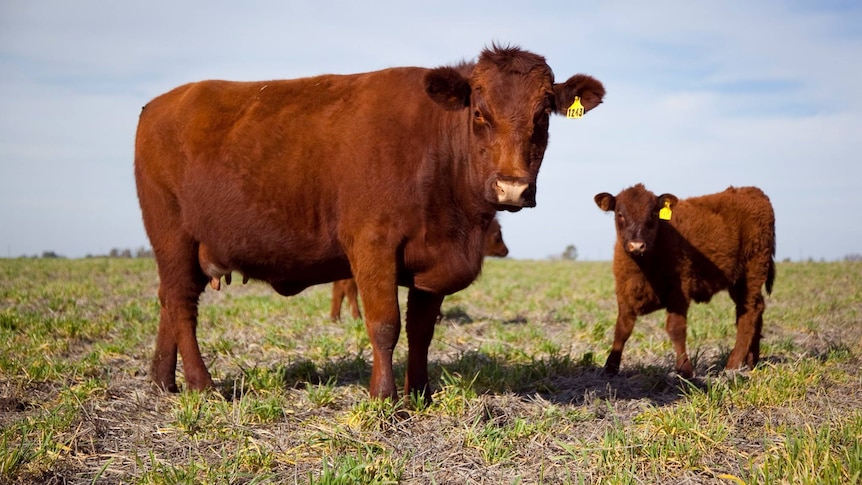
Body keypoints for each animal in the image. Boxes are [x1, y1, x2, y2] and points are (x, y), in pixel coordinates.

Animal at [330, 216, 510, 322]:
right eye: (497, 234)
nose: (506, 251)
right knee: (348, 288)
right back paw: (354, 316)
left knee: (340, 288)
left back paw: (336, 317)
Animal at [596, 183, 780, 376]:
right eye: (619, 213)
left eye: (653, 213)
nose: (637, 245)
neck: (643, 266)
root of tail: (754, 191)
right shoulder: (624, 292)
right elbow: (622, 329)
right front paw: (610, 367)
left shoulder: (679, 292)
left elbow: (675, 329)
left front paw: (684, 369)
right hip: (737, 281)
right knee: (756, 309)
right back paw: (752, 362)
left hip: (752, 271)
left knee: (749, 312)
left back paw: (733, 364)